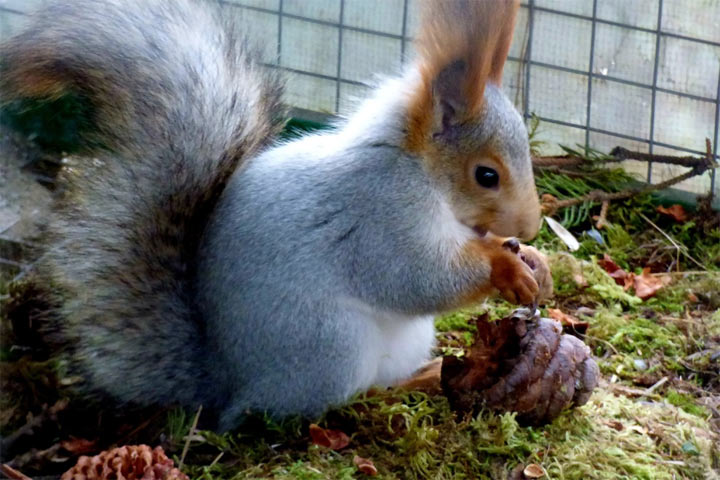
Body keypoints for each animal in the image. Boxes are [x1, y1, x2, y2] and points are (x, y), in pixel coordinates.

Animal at [0, 0, 552, 430]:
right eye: (486, 175)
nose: (528, 226)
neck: (419, 171)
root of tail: (225, 379)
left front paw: (535, 262)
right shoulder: (379, 211)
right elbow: (413, 278)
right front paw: (504, 266)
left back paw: (423, 377)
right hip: (327, 346)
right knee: (301, 407)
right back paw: (383, 397)